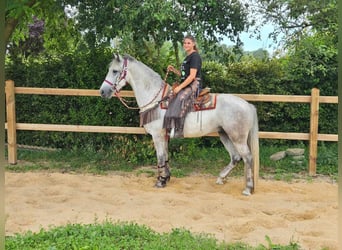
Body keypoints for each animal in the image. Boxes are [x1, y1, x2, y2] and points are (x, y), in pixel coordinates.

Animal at [99, 54, 260, 195]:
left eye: (115, 71)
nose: (102, 92)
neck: (157, 99)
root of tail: (248, 105)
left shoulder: (157, 135)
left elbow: (160, 157)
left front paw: (160, 181)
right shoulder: (164, 136)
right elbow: (165, 156)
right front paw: (166, 178)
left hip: (237, 137)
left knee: (247, 158)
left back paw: (247, 189)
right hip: (224, 134)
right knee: (235, 157)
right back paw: (221, 178)